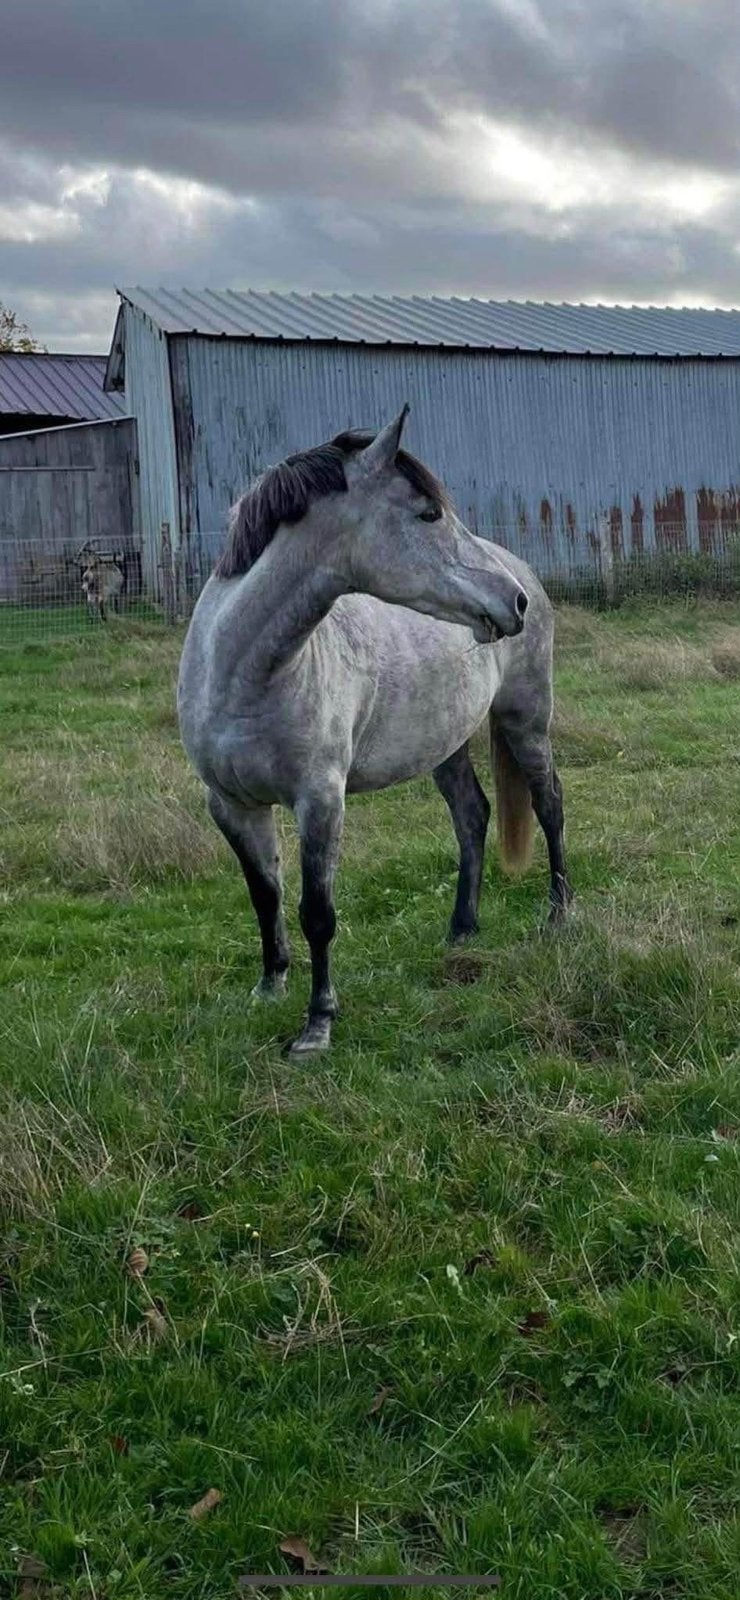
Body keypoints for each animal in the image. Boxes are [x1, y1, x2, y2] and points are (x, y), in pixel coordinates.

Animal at [177, 407, 572, 1057]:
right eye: (429, 513)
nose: (510, 603)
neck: (243, 676)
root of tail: (522, 568)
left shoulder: (320, 801)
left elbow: (317, 912)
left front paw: (316, 1027)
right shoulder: (230, 804)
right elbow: (265, 894)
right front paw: (269, 987)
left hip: (526, 720)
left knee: (549, 804)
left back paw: (560, 915)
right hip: (445, 743)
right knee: (473, 816)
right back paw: (461, 930)